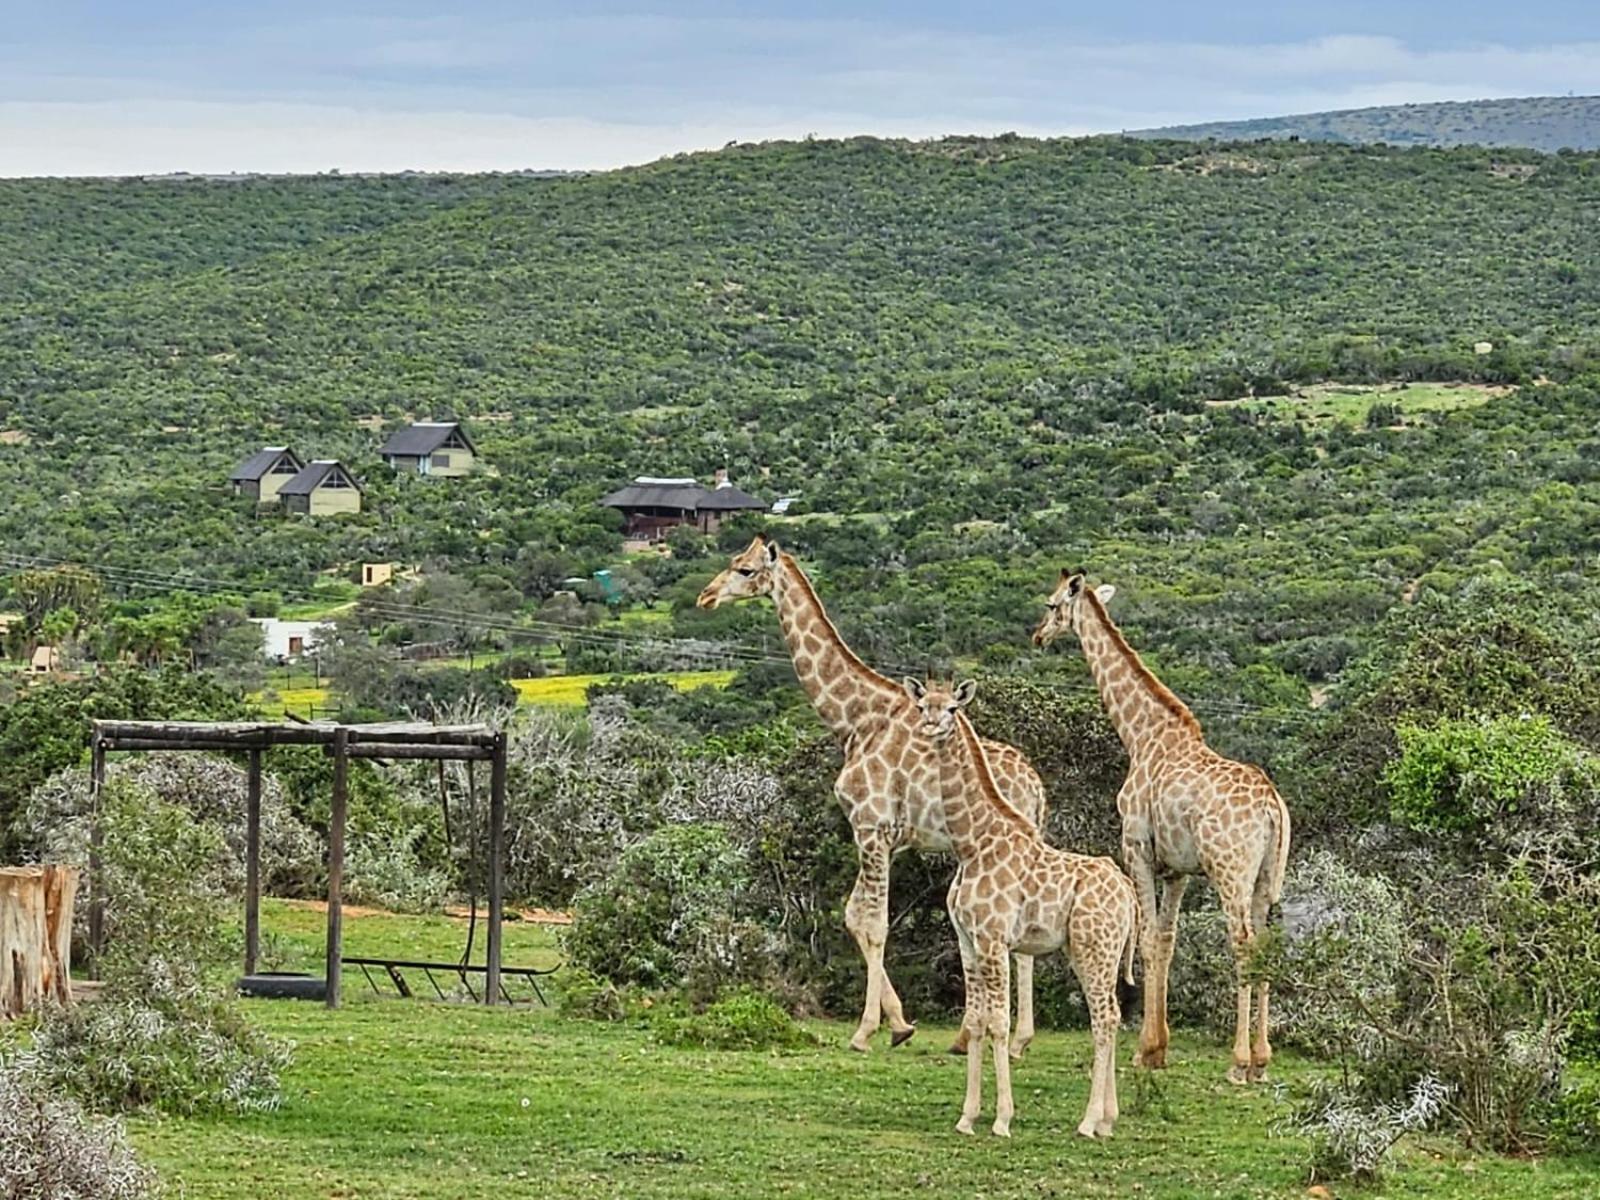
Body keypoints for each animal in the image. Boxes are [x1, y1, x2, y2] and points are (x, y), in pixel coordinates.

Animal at [694, 534, 1043, 1049]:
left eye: (744, 569)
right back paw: (978, 1037)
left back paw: (1012, 1040)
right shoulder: (886, 838)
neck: (856, 719)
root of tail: (1036, 789)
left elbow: (874, 924)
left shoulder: (870, 826)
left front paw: (867, 1030)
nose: (706, 597)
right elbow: (854, 915)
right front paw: (899, 1023)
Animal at [908, 681, 1145, 1139]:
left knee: (1103, 1018)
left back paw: (1089, 1121)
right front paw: (967, 1117)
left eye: (951, 708)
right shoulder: (967, 940)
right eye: (922, 705)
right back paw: (1107, 1119)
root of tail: (1128, 893)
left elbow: (999, 1023)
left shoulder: (994, 938)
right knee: (1111, 1016)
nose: (929, 726)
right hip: (1096, 952)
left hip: (1094, 949)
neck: (972, 844)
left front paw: (1002, 1119)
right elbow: (976, 1021)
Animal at [1030, 572, 1292, 1088]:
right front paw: (1159, 1048)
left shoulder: (1137, 847)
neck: (1141, 735)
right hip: (1266, 878)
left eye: (1051, 605)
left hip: (1230, 872)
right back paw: (1263, 1058)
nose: (1037, 637)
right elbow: (1168, 943)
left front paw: (1145, 1050)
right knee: (1266, 944)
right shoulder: (1178, 869)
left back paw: (1240, 1061)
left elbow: (1149, 939)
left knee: (1243, 945)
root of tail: (1273, 807)